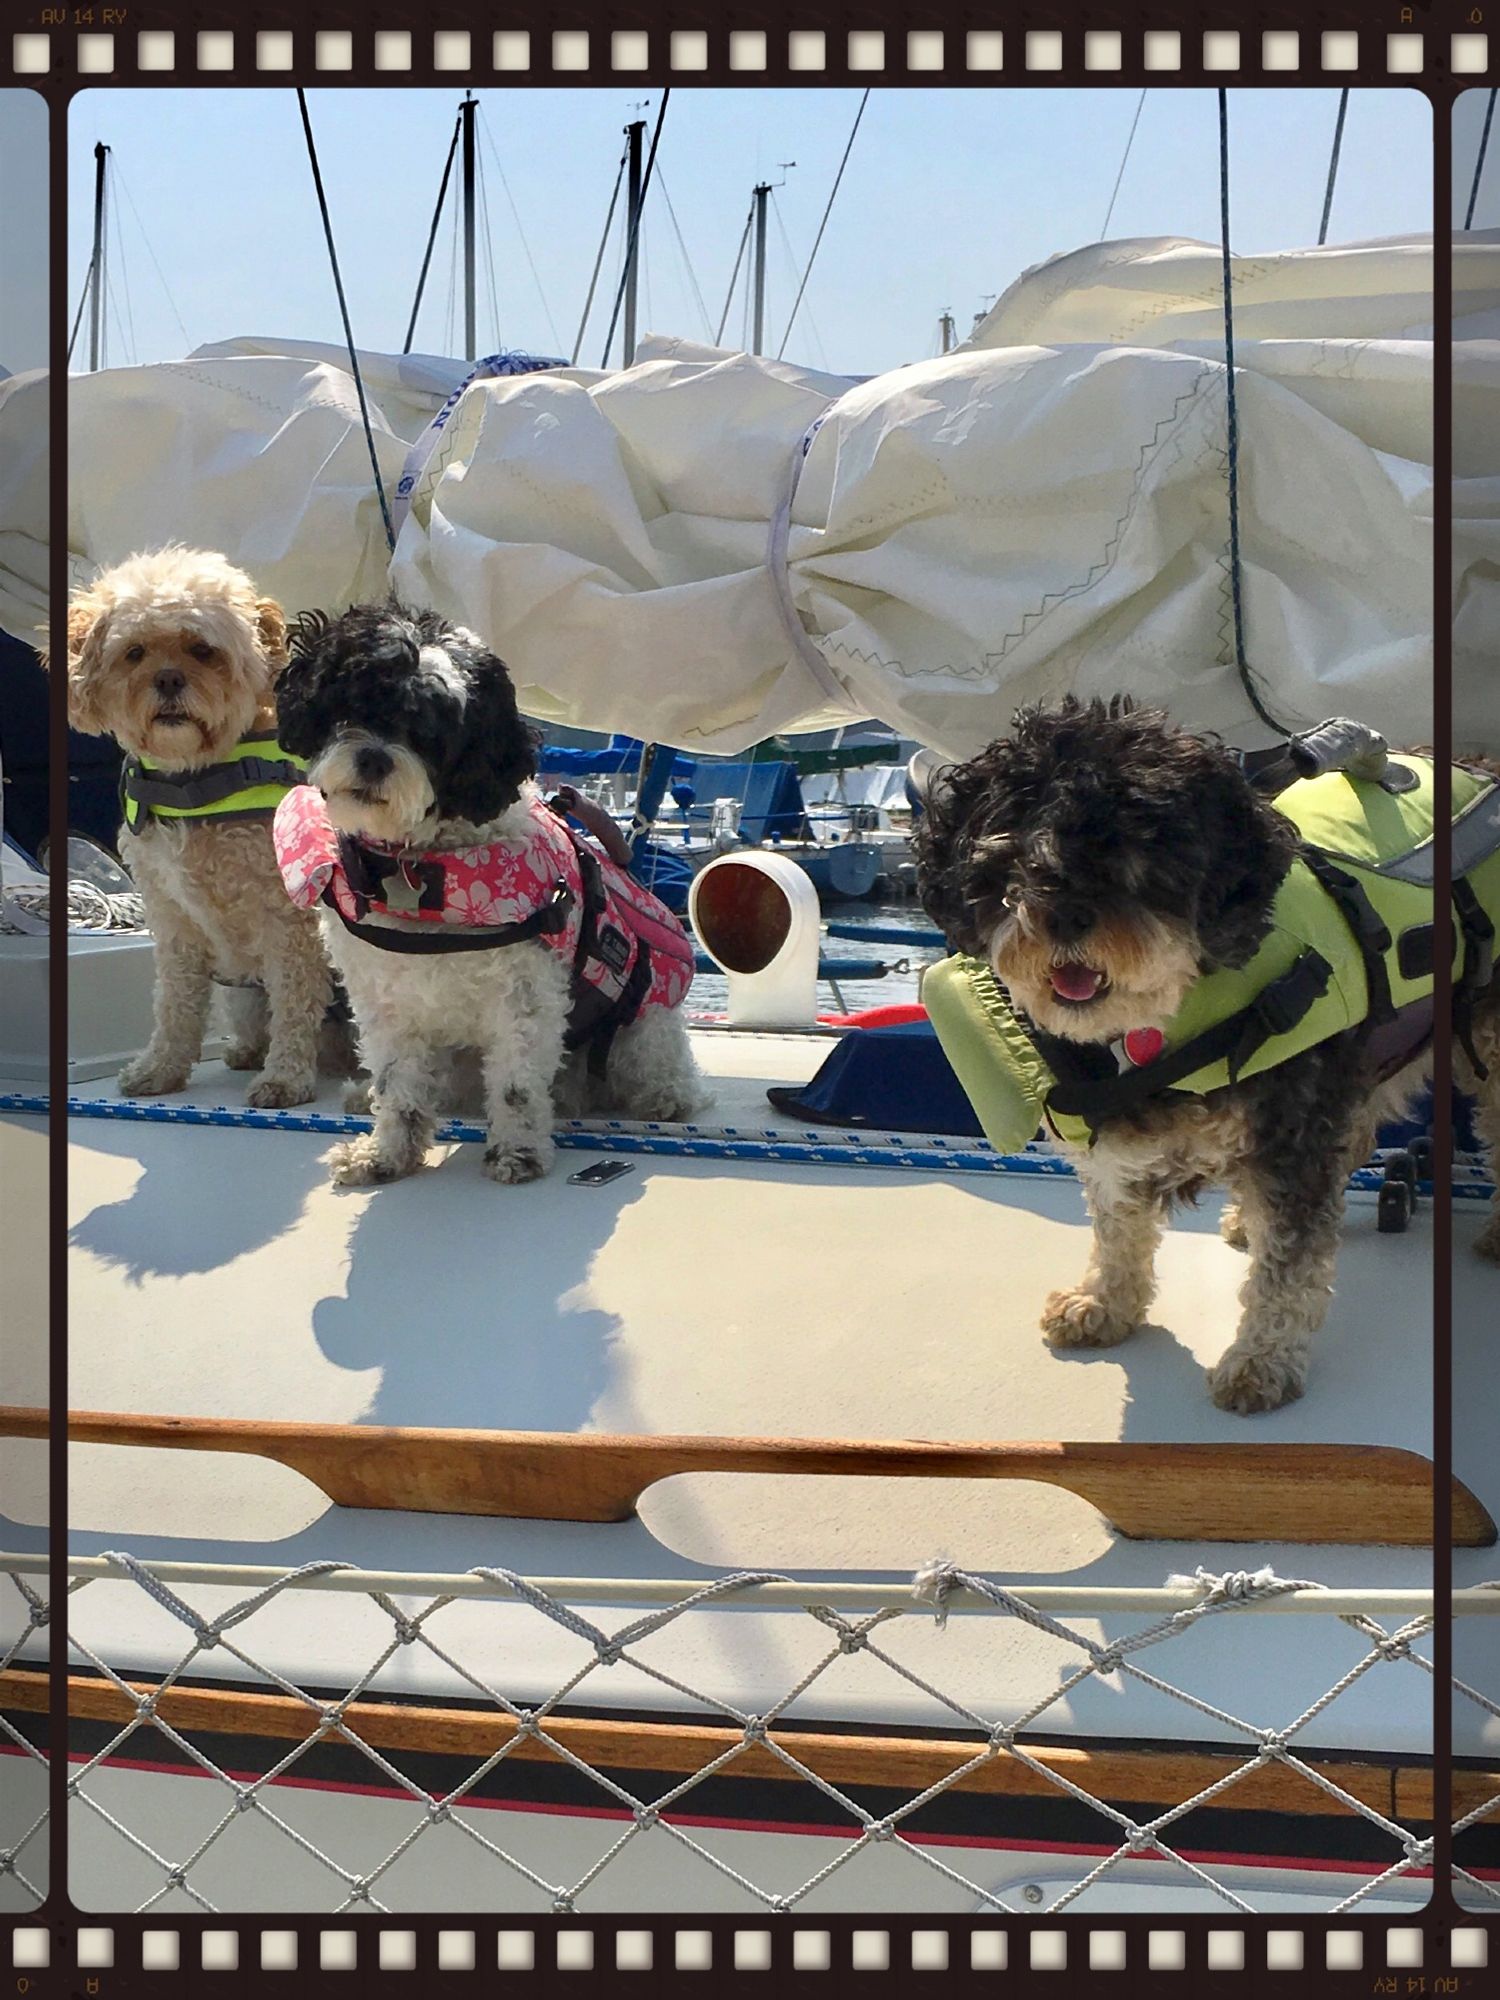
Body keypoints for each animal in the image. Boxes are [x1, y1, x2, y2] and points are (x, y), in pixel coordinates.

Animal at [274, 596, 712, 1184]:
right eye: (355, 702)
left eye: (434, 731)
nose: (374, 758)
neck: (419, 867)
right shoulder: (384, 998)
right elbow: (398, 1083)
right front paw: (387, 1154)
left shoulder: (525, 995)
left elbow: (516, 1086)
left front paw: (517, 1152)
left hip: (642, 1028)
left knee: (659, 1070)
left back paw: (663, 1098)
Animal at [916, 696, 1500, 1416]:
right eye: (1015, 857)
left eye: (1141, 854)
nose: (1065, 917)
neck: (1152, 1025)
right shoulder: (1117, 1138)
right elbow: (1117, 1225)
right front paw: (1104, 1304)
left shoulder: (1291, 1133)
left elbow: (1288, 1267)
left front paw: (1261, 1362)